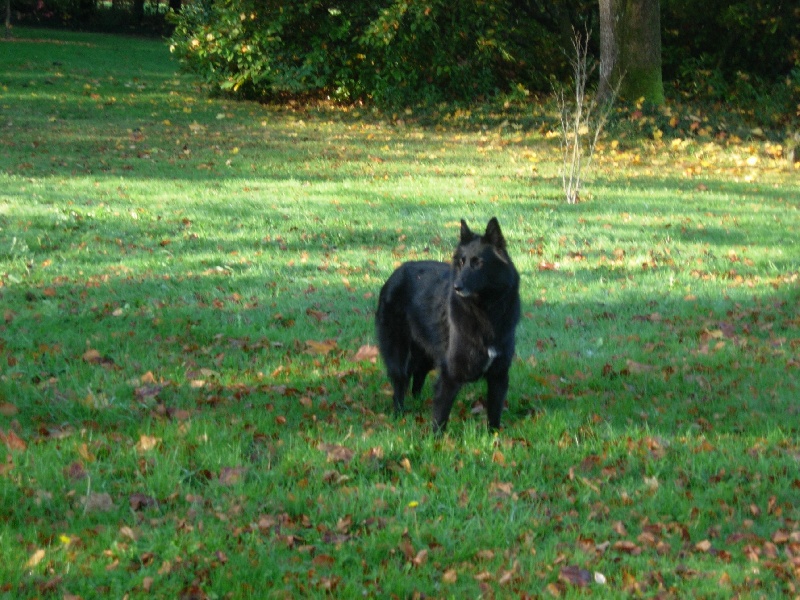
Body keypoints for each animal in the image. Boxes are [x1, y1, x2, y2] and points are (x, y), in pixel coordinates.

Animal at [376, 218, 520, 434]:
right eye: (461, 262)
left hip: (426, 355)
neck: (485, 310)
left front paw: (493, 437)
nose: (456, 286)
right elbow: (441, 415)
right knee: (400, 383)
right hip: (397, 353)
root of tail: (396, 273)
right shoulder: (450, 375)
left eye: (478, 263)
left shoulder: (499, 375)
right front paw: (435, 440)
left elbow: (494, 414)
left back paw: (417, 403)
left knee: (418, 376)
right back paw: (399, 416)